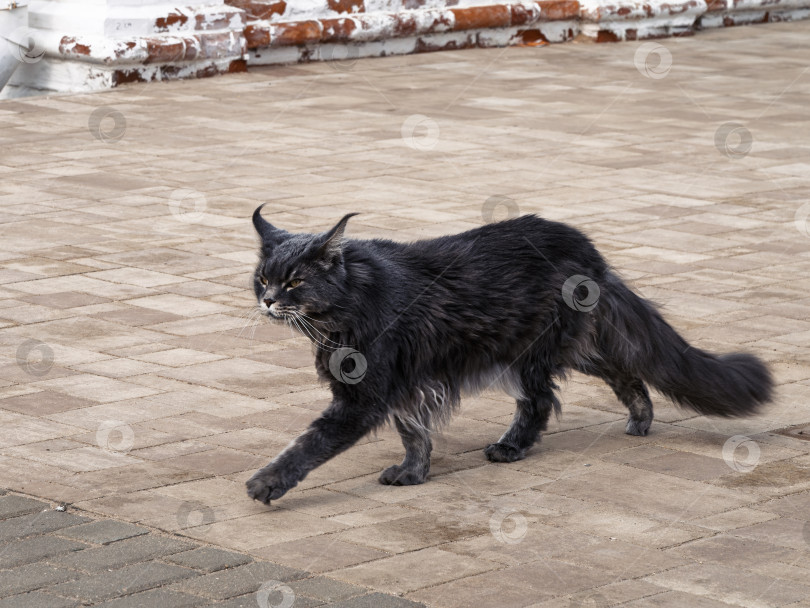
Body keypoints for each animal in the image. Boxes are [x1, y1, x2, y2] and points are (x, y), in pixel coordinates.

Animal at [245, 205, 772, 504]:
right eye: (263, 278)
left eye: (296, 281)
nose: (268, 300)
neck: (353, 299)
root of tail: (589, 251)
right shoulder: (402, 384)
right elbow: (413, 432)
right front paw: (414, 474)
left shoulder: (365, 395)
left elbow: (309, 443)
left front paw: (266, 483)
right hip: (569, 345)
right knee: (626, 372)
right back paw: (641, 417)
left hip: (531, 355)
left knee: (539, 404)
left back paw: (511, 447)